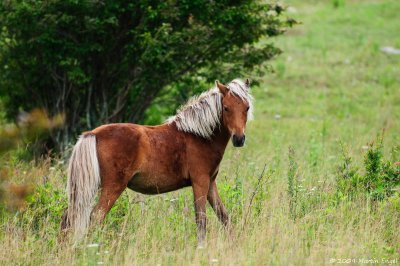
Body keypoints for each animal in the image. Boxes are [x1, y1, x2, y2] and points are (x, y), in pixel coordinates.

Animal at [60, 78, 253, 244]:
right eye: (226, 108)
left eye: (247, 107)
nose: (239, 139)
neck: (199, 136)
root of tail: (93, 134)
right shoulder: (200, 182)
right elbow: (201, 220)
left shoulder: (210, 183)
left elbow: (224, 216)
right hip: (112, 187)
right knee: (96, 216)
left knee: (69, 217)